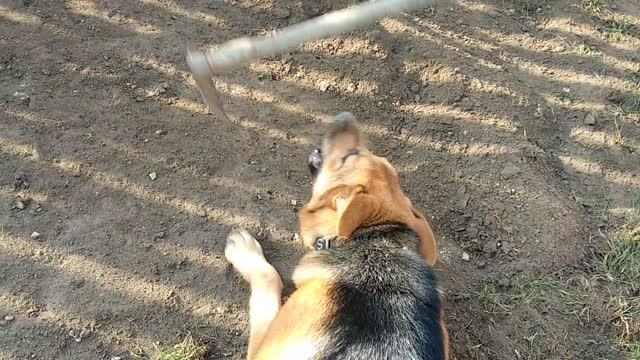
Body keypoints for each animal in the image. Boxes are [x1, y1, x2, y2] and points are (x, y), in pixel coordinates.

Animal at [225, 113, 450, 360]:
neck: (373, 239)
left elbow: (269, 277)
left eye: (349, 155)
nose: (346, 116)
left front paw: (244, 249)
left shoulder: (266, 349)